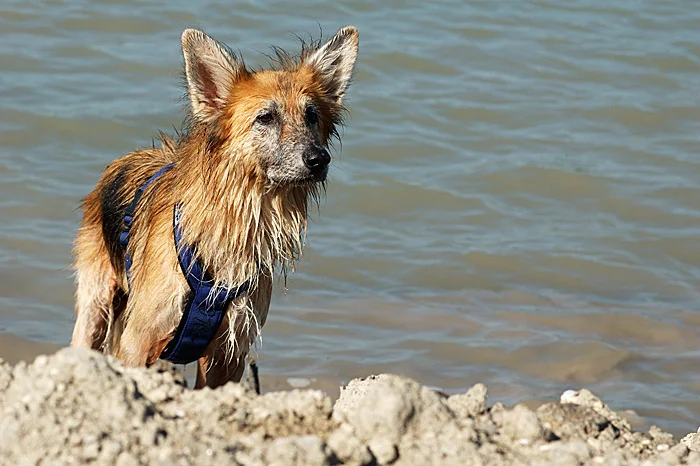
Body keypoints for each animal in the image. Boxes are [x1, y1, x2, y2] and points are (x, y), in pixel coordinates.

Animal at [70, 26, 358, 390]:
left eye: (312, 116)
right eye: (266, 117)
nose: (319, 159)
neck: (238, 217)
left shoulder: (228, 354)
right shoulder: (140, 341)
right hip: (95, 308)